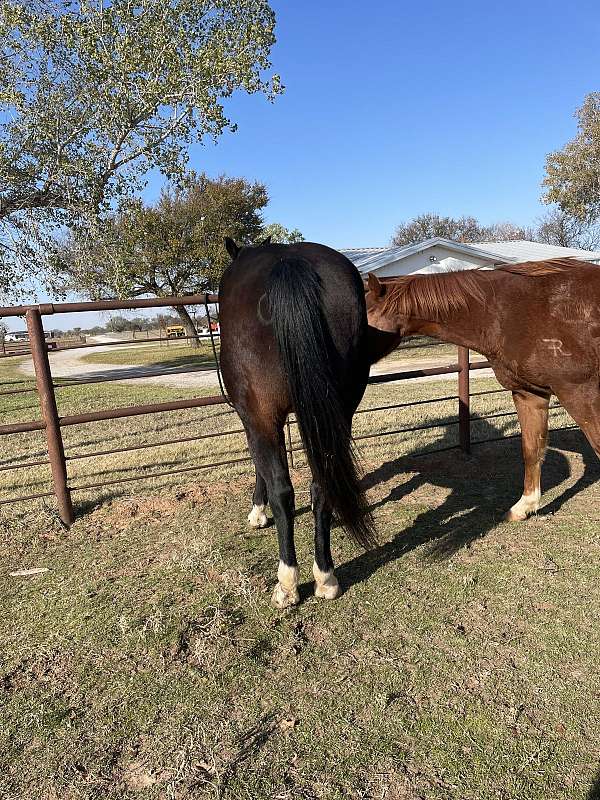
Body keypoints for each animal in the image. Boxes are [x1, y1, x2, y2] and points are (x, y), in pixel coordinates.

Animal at [218, 238, 378, 608]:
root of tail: (288, 263)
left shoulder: (253, 419)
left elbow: (261, 469)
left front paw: (257, 512)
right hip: (339, 412)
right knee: (321, 486)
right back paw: (326, 577)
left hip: (263, 416)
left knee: (284, 491)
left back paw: (287, 583)